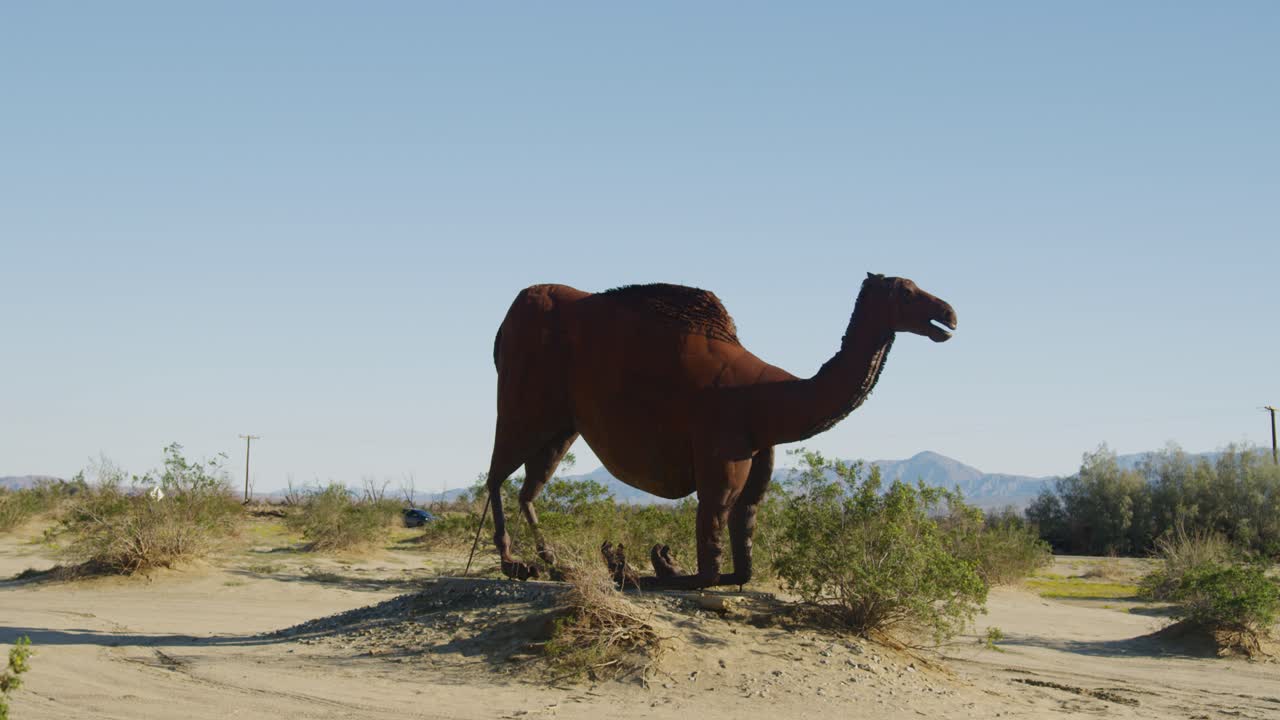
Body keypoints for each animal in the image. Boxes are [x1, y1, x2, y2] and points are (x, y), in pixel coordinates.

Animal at [484, 273, 957, 589]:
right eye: (907, 292)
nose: (948, 314)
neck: (768, 398)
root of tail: (506, 321)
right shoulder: (720, 456)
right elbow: (707, 567)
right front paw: (638, 563)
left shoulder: (758, 457)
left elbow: (742, 558)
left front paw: (641, 560)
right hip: (523, 405)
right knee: (495, 477)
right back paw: (515, 563)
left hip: (561, 424)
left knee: (527, 489)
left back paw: (551, 563)